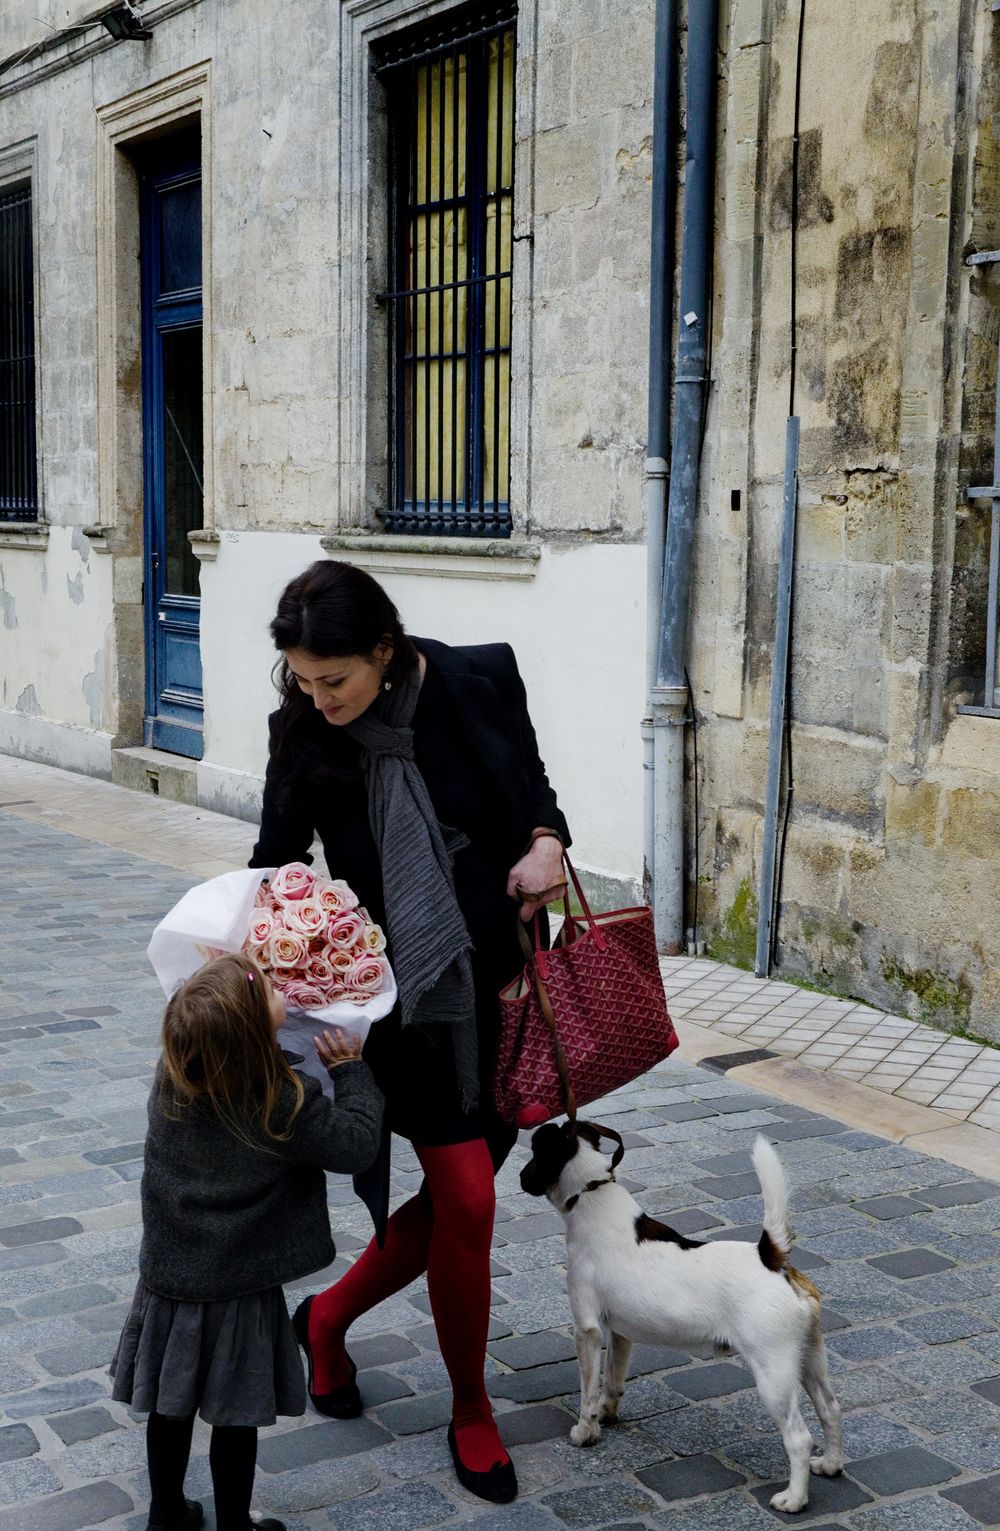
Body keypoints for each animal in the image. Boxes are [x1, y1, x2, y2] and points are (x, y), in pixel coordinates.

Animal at [523, 1120, 845, 1512]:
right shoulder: (621, 1332)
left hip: (774, 1373)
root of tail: (771, 1258)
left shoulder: (587, 1329)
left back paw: (793, 1499)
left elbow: (588, 1391)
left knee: (798, 1437)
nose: (520, 1178)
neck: (592, 1193)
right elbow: (612, 1379)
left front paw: (585, 1432)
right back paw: (830, 1464)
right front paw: (608, 1413)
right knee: (830, 1409)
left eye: (533, 1153)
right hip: (809, 1358)